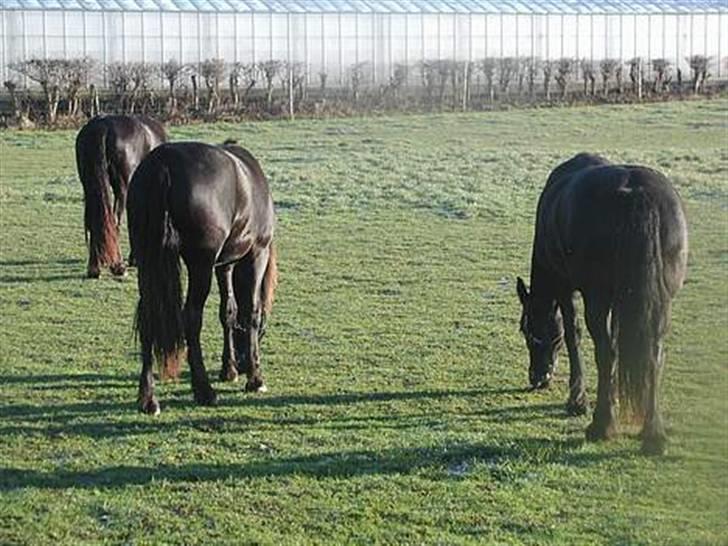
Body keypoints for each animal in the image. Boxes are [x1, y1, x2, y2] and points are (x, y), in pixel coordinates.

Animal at [76, 115, 168, 276]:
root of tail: (102, 126)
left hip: (90, 188)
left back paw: (94, 267)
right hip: (122, 187)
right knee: (115, 220)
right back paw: (118, 266)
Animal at [126, 139, 278, 412]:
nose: (242, 365)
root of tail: (163, 163)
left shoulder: (224, 264)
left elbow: (228, 311)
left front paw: (229, 370)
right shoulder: (255, 255)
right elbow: (251, 311)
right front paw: (255, 378)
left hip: (147, 262)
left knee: (149, 316)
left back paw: (148, 398)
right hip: (200, 265)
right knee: (191, 318)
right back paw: (204, 390)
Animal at [516, 151, 688, 452]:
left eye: (526, 332)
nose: (538, 378)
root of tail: (635, 191)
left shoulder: (565, 287)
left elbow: (573, 335)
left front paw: (578, 400)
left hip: (597, 298)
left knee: (606, 351)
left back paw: (602, 425)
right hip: (661, 300)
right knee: (653, 353)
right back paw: (652, 433)